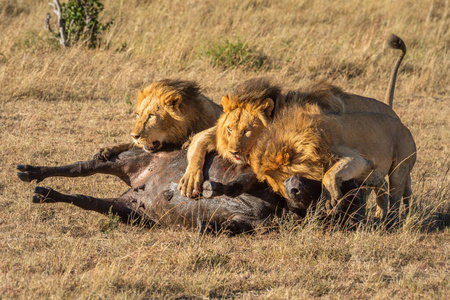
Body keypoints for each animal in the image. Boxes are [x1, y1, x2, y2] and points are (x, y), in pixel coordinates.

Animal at [93, 78, 223, 161]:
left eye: (151, 116)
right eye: (138, 115)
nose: (134, 136)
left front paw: (189, 141)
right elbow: (127, 144)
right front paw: (106, 150)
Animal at [179, 34, 408, 198]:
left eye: (247, 131)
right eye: (229, 129)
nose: (233, 151)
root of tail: (390, 109)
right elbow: (200, 139)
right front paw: (190, 178)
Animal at [248, 104, 416, 224]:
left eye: (286, 180)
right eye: (278, 189)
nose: (292, 206)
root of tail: (406, 128)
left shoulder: (357, 158)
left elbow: (328, 175)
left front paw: (330, 199)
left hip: (400, 167)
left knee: (395, 196)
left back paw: (391, 222)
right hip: (375, 175)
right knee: (391, 190)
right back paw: (385, 215)